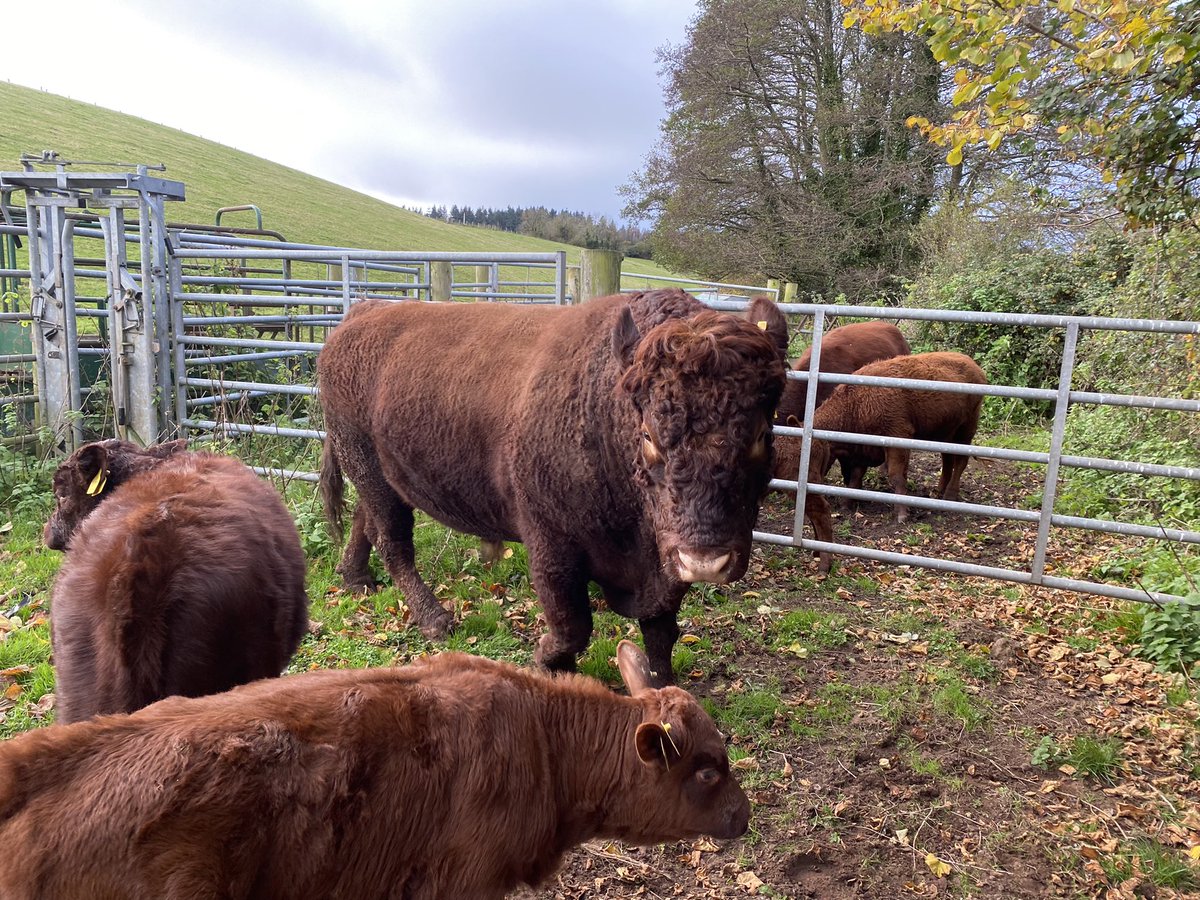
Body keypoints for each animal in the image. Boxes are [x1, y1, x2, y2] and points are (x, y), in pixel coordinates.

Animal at [318, 289, 789, 686]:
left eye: (763, 435)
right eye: (648, 436)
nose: (705, 561)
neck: (603, 406)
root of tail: (362, 313)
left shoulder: (662, 560)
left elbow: (661, 627)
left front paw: (663, 685)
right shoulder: (552, 545)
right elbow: (573, 625)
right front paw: (549, 664)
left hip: (377, 473)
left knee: (366, 522)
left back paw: (356, 579)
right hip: (365, 463)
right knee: (394, 541)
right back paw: (435, 620)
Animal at [775, 352, 988, 573]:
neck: (855, 403)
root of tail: (971, 363)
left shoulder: (897, 437)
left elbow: (896, 477)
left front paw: (901, 514)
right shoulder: (863, 449)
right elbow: (856, 477)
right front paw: (847, 503)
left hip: (965, 430)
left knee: (960, 461)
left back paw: (950, 494)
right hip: (946, 433)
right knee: (947, 459)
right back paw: (939, 490)